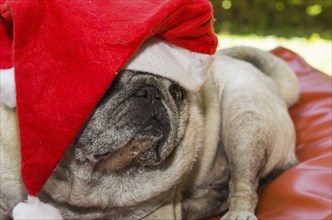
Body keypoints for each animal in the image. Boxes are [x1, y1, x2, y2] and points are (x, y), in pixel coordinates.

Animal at [0, 45, 300, 219]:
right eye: (107, 84)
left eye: (176, 92)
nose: (151, 92)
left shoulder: (158, 210)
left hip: (244, 120)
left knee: (243, 185)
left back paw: (236, 213)